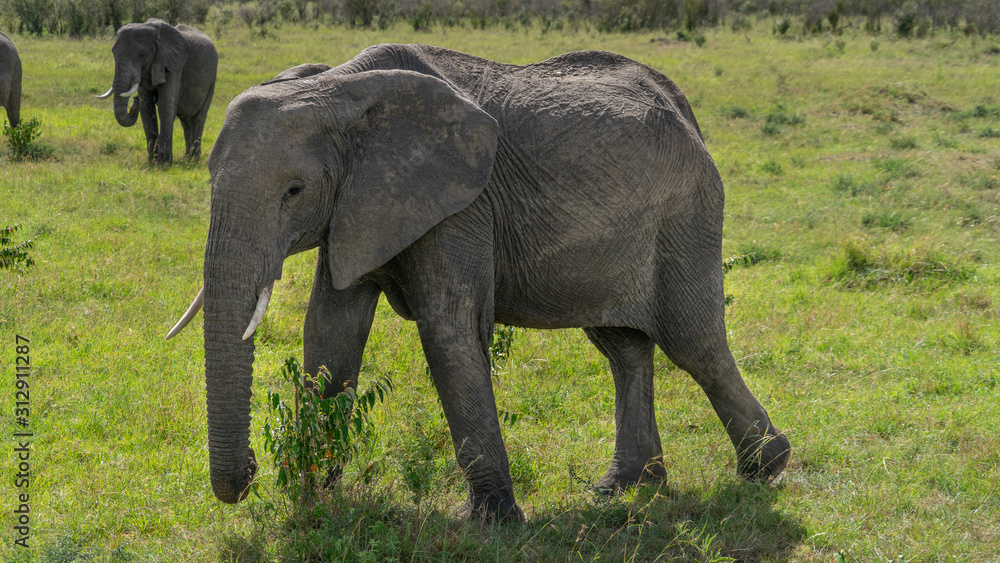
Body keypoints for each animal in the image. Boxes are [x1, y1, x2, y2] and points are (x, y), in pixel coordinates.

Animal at [97, 18, 217, 164]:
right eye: (114, 54)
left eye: (142, 55)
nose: (135, 100)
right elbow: (147, 108)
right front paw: (152, 162)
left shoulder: (174, 66)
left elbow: (165, 106)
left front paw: (163, 163)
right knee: (186, 121)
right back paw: (186, 159)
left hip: (212, 79)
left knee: (199, 117)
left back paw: (193, 161)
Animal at [166, 44, 790, 521]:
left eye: (294, 191)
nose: (249, 470)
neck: (339, 87)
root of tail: (683, 106)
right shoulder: (359, 204)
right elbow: (330, 330)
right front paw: (312, 502)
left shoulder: (461, 204)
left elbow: (449, 328)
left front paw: (493, 522)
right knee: (622, 346)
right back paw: (624, 488)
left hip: (686, 211)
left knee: (694, 343)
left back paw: (766, 468)